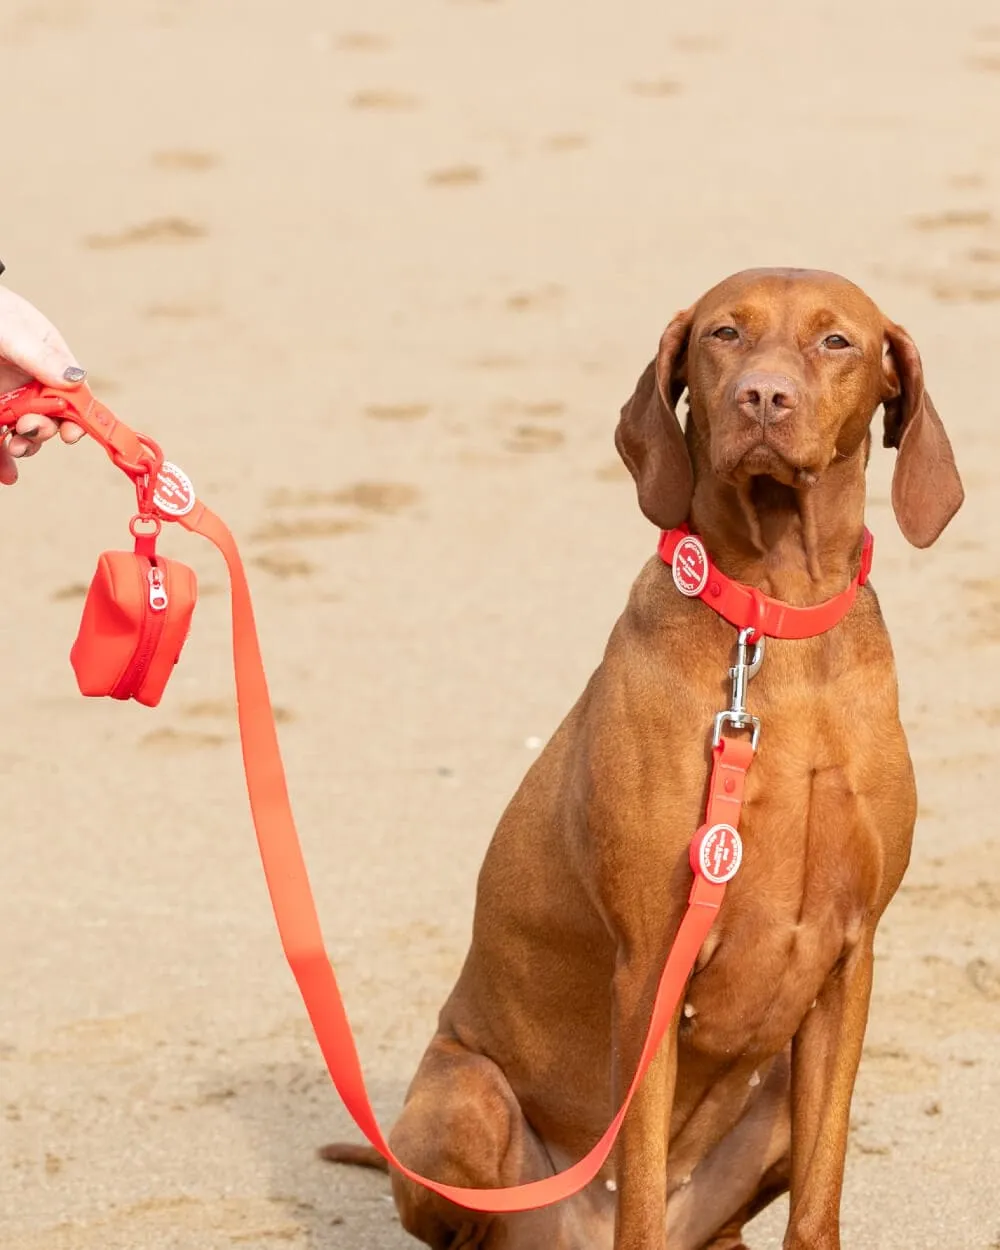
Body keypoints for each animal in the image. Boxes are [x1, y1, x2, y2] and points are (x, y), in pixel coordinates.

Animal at [320, 273, 960, 1250]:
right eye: (725, 334)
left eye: (837, 342)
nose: (763, 398)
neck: (772, 622)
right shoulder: (652, 964)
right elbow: (644, 1191)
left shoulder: (851, 962)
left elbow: (818, 1199)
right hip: (464, 1098)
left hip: (768, 1099)